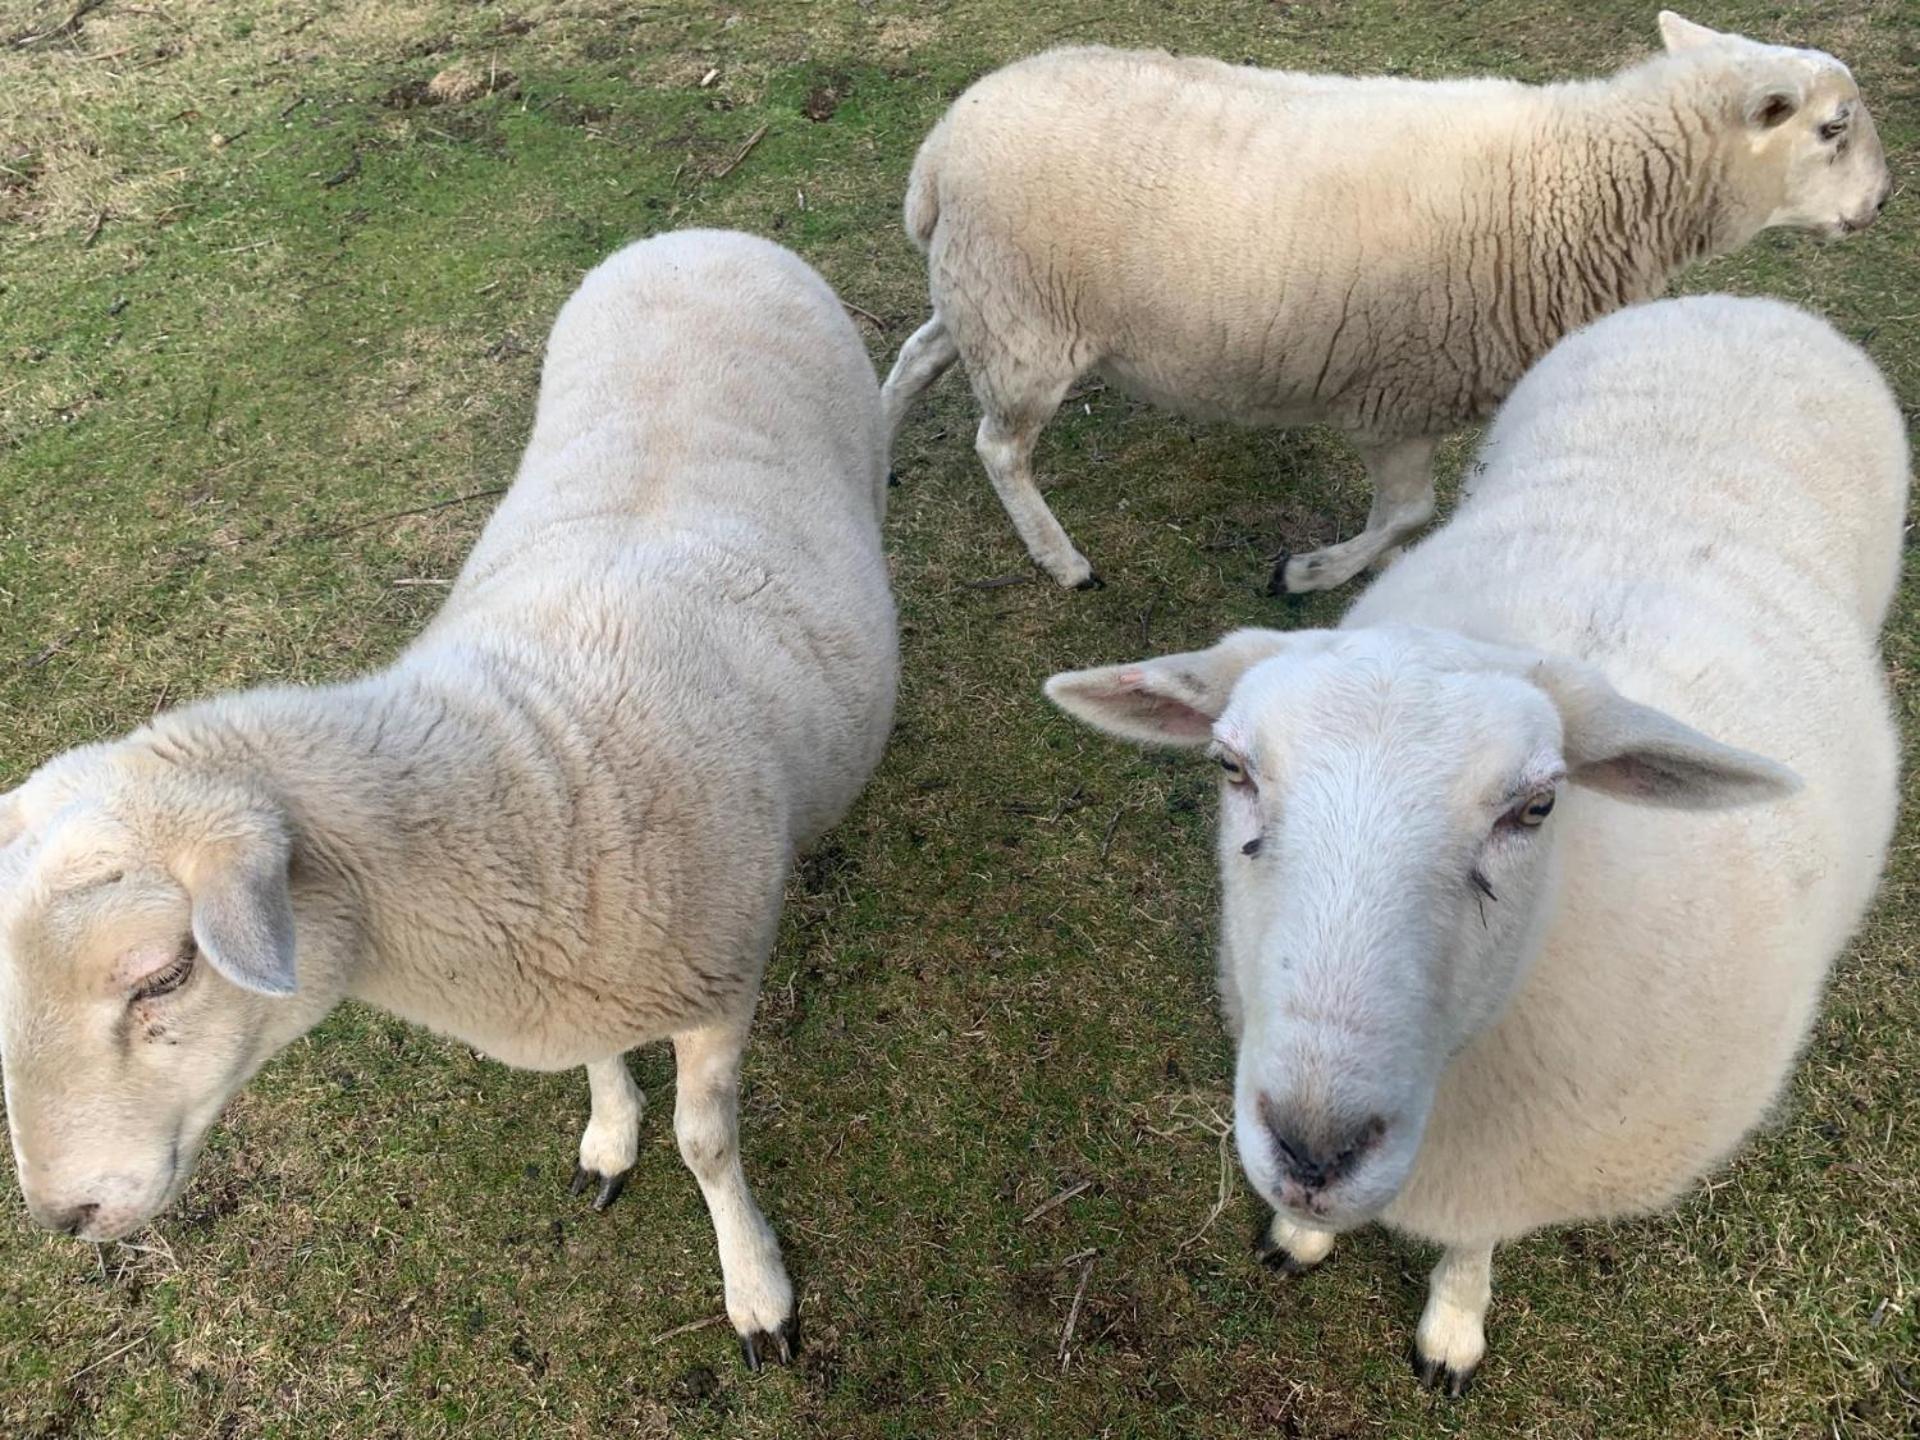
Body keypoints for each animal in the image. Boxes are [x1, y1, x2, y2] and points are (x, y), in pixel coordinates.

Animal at [0, 228, 894, 1374]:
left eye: (160, 976)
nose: (61, 1218)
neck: (532, 786)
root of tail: (695, 237)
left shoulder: (719, 982)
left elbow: (707, 1143)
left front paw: (756, 1288)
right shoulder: (588, 963)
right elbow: (602, 1060)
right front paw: (610, 1134)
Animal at [883, 11, 1889, 591]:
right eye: (1833, 129)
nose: (1881, 203)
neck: (1584, 182)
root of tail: (940, 147)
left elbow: (1407, 523)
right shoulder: (1401, 398)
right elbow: (1406, 514)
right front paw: (1311, 571)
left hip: (987, 294)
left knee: (914, 357)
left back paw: (876, 450)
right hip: (1024, 321)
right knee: (999, 447)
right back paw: (1062, 559)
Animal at [1052, 295, 1904, 1397]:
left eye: (1535, 808)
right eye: (1233, 768)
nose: (1314, 1151)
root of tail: (1754, 306)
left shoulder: (1518, 1171)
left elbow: (1470, 1246)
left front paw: (1451, 1328)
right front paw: (1301, 1235)